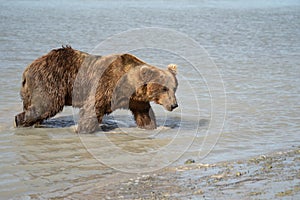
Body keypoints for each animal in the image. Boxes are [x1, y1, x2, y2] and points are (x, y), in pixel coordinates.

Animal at [14, 45, 178, 133]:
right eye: (164, 89)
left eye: (174, 88)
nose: (174, 105)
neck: (129, 85)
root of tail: (27, 69)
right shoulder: (106, 85)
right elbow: (92, 108)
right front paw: (82, 129)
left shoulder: (135, 99)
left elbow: (144, 114)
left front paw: (151, 126)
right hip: (50, 81)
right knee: (45, 106)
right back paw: (20, 121)